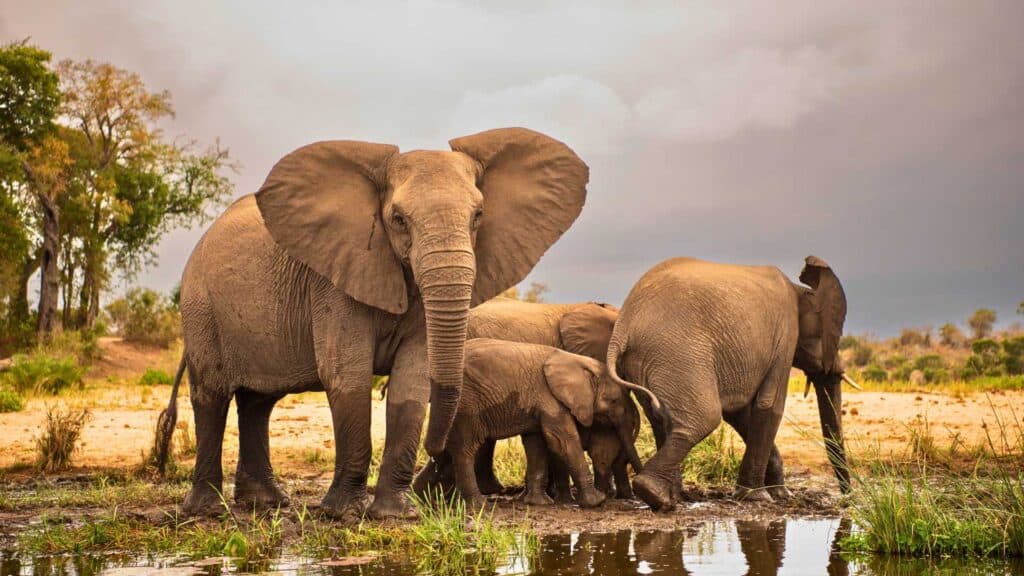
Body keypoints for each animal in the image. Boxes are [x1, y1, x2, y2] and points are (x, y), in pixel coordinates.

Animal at [149, 127, 585, 518]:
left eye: (478, 216)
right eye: (398, 219)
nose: (435, 452)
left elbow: (412, 381)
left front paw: (396, 515)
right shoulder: (334, 281)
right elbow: (348, 375)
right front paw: (343, 513)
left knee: (258, 402)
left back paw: (266, 504)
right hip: (201, 305)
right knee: (211, 394)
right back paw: (208, 511)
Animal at [432, 336, 647, 506]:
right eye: (614, 400)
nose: (641, 497)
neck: (576, 361)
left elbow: (536, 443)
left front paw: (539, 503)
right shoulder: (549, 398)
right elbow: (562, 441)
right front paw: (596, 501)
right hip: (466, 405)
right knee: (466, 448)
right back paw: (478, 505)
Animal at [610, 254, 860, 506]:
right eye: (835, 337)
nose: (847, 498)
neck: (800, 290)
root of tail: (623, 327)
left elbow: (740, 413)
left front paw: (779, 494)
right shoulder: (785, 337)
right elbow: (770, 407)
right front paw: (759, 497)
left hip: (646, 360)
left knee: (661, 418)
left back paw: (673, 498)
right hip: (678, 353)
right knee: (704, 418)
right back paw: (654, 494)